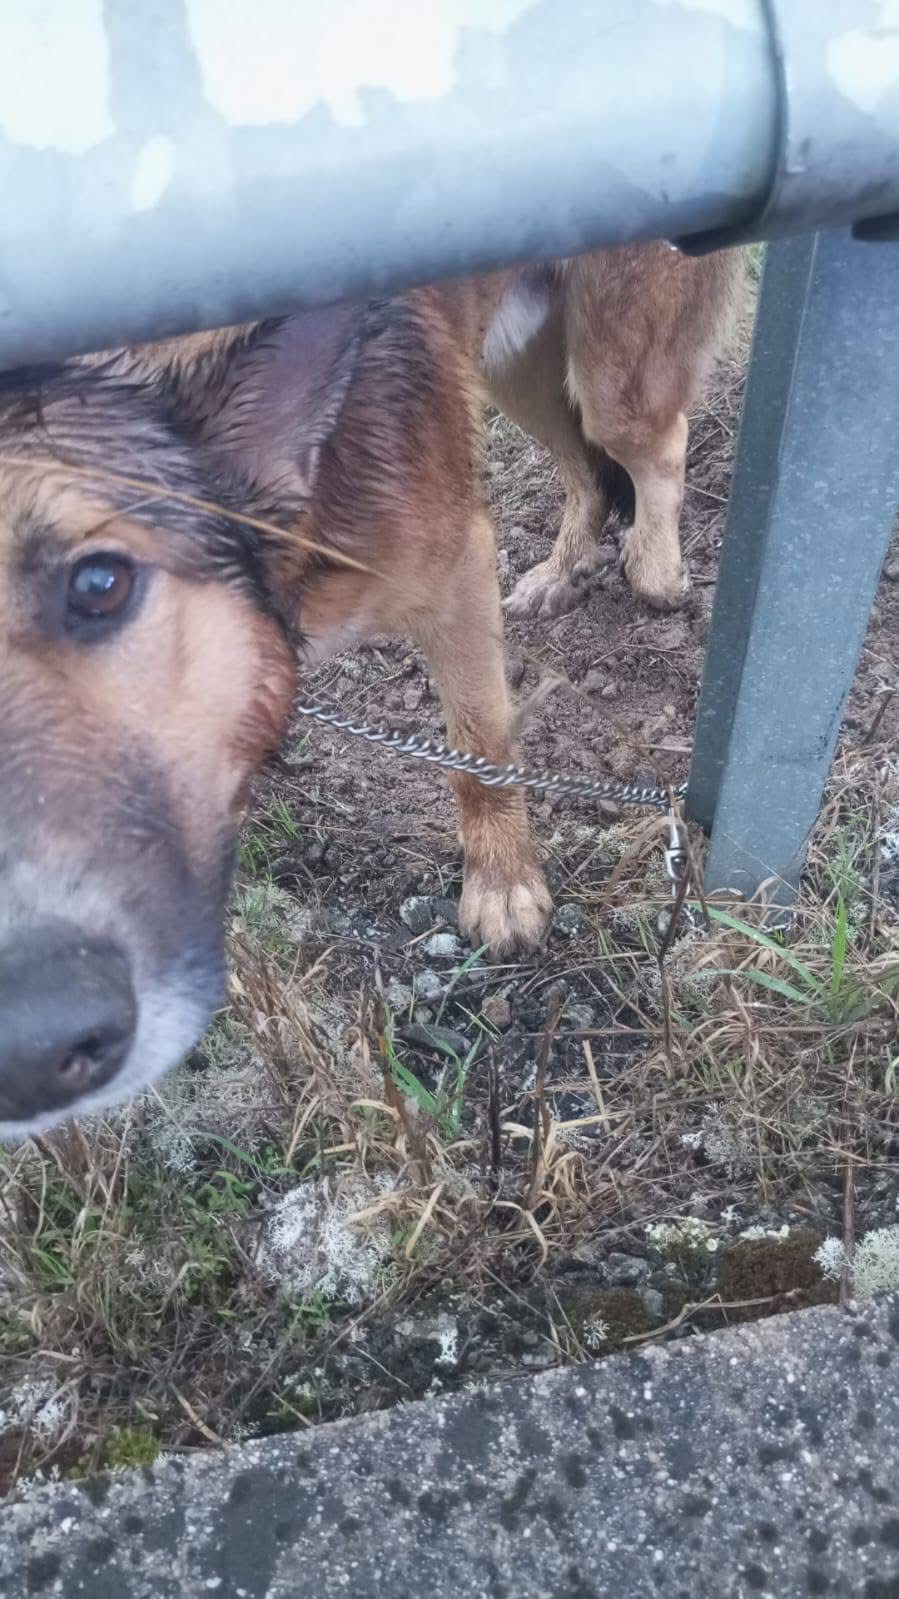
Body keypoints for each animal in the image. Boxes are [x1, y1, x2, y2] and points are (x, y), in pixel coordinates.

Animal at [0, 243, 740, 1138]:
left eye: (99, 584)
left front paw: (502, 883)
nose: (31, 1050)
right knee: (585, 472)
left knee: (649, 444)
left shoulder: (455, 574)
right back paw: (562, 572)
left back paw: (655, 566)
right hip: (513, 368)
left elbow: (479, 746)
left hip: (609, 369)